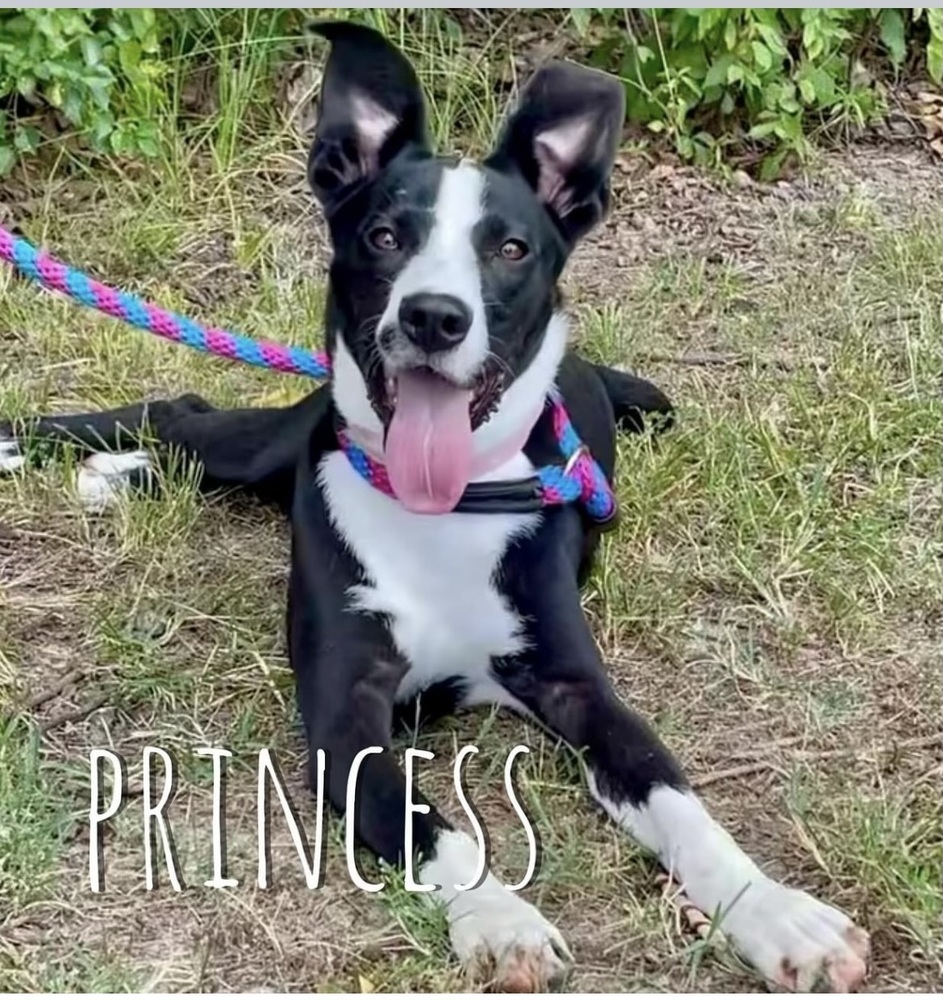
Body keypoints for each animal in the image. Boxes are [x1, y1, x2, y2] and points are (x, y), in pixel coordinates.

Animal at [1, 21, 872, 992]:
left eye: (510, 249)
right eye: (384, 235)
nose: (432, 318)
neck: (446, 515)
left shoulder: (579, 689)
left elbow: (681, 804)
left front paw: (775, 914)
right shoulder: (346, 718)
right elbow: (435, 830)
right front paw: (501, 917)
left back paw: (111, 475)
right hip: (269, 442)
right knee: (182, 415)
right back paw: (44, 448)